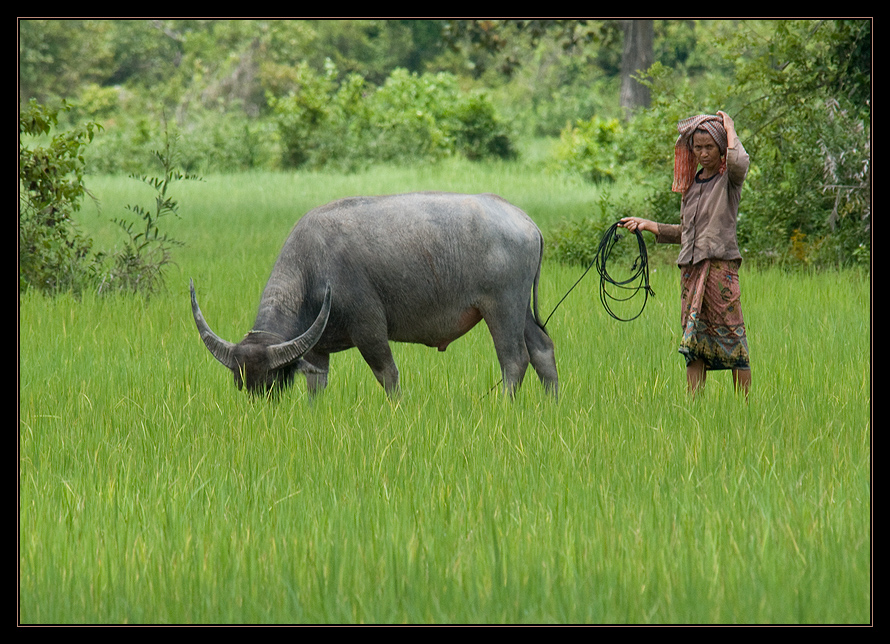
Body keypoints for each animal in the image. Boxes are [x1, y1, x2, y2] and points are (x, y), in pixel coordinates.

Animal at [192, 191, 560, 394]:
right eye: (241, 384)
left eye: (271, 382)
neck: (313, 265)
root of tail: (525, 220)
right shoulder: (316, 349)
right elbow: (316, 385)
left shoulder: (369, 329)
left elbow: (388, 375)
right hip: (521, 309)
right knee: (542, 349)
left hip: (502, 306)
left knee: (513, 359)